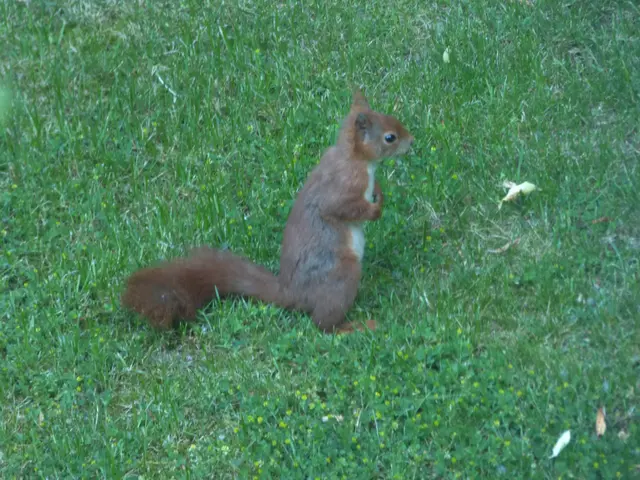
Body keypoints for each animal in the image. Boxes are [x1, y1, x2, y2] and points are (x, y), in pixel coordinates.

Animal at [121, 89, 414, 334]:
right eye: (390, 137)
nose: (411, 141)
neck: (356, 159)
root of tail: (293, 294)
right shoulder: (342, 186)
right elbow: (342, 209)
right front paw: (375, 210)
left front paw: (380, 193)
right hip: (342, 274)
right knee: (322, 325)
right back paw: (353, 327)